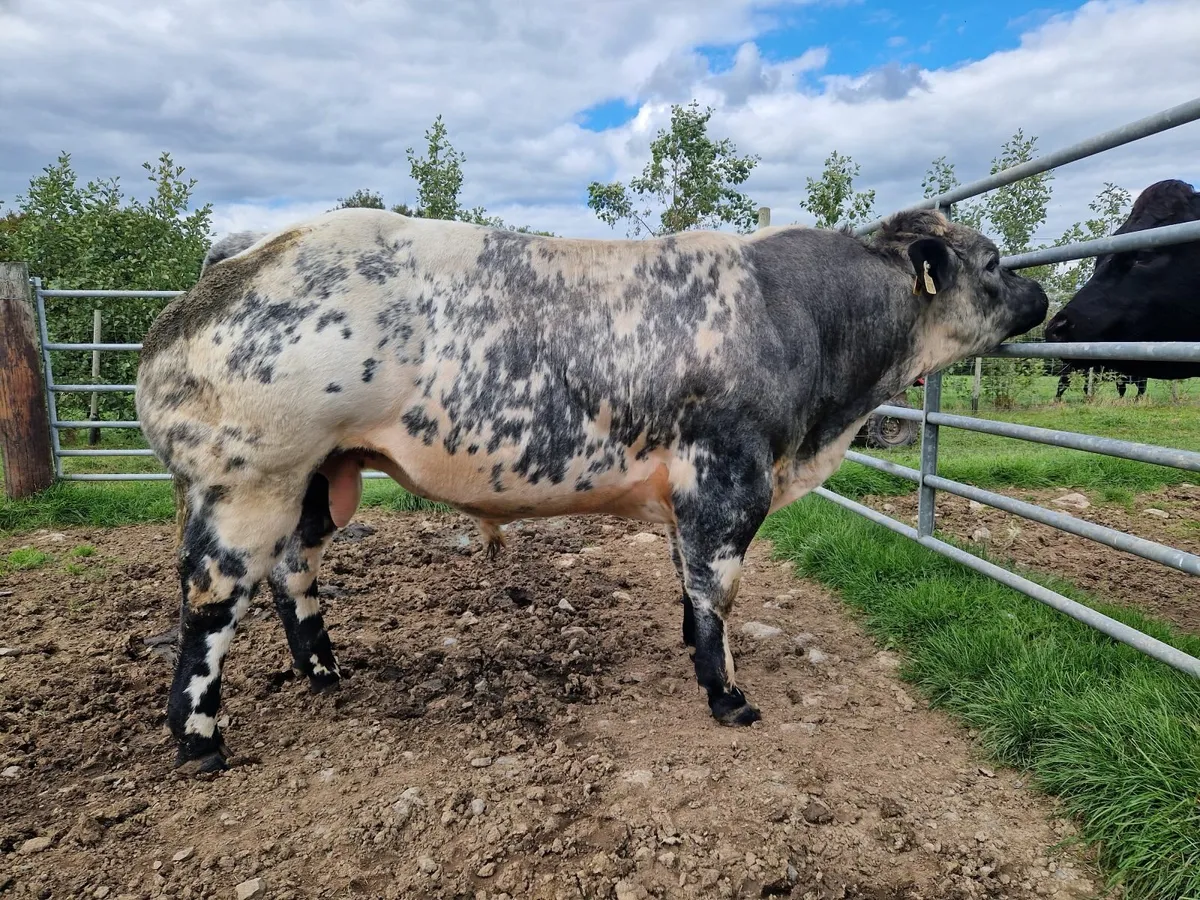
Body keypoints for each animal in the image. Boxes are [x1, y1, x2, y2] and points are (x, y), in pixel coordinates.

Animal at [135, 206, 1048, 774]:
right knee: (211, 602)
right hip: (246, 480)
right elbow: (718, 586)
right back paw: (201, 741)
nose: (1043, 292)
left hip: (323, 480)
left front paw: (692, 649)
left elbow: (690, 584)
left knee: (293, 571)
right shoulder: (728, 476)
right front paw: (727, 696)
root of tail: (253, 248)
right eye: (995, 261)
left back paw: (325, 669)